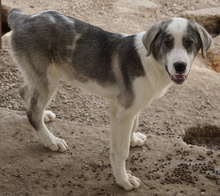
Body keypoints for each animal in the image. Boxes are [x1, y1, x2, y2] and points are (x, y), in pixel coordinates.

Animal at [7, 8, 212, 190]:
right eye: (167, 43)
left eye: (189, 43)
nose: (180, 66)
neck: (151, 62)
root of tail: (23, 18)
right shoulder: (122, 111)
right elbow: (121, 152)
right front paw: (123, 180)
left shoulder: (132, 107)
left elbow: (134, 124)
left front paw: (132, 138)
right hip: (48, 79)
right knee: (32, 112)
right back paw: (51, 141)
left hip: (41, 77)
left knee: (24, 91)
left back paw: (45, 115)